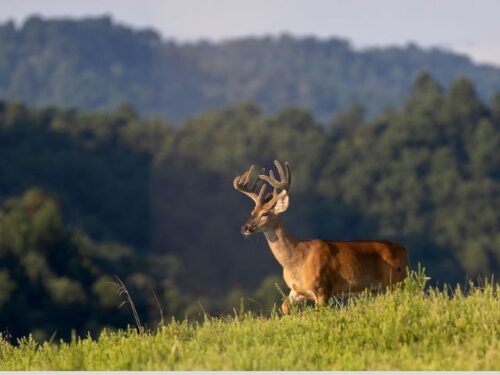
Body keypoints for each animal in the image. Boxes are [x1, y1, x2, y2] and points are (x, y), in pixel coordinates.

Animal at [232, 161, 408, 314]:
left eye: (265, 214)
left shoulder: (323, 289)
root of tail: (404, 250)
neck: (297, 259)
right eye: (252, 212)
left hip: (395, 280)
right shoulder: (297, 290)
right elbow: (284, 307)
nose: (245, 228)